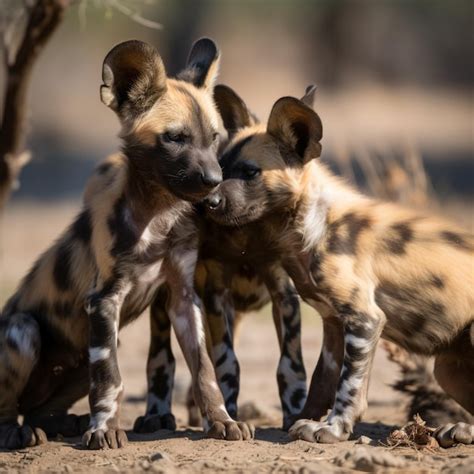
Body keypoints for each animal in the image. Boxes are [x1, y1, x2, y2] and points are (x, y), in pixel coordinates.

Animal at [0, 39, 256, 450]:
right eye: (175, 138)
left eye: (214, 138)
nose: (214, 180)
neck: (159, 215)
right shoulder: (104, 302)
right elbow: (110, 380)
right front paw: (105, 429)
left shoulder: (183, 299)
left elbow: (205, 372)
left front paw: (222, 421)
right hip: (25, 332)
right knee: (12, 403)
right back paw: (17, 433)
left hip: (82, 357)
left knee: (41, 410)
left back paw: (64, 423)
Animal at [204, 90, 474, 448]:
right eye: (221, 168)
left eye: (250, 173)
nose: (207, 203)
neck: (311, 226)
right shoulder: (333, 324)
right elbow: (321, 382)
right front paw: (304, 420)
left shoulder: (365, 320)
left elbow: (349, 387)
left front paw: (333, 430)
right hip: (447, 369)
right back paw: (460, 430)